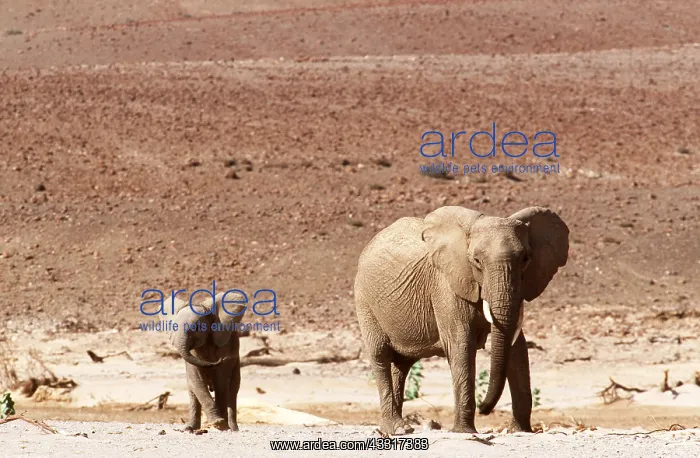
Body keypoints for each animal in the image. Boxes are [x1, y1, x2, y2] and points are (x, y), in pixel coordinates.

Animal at [169, 292, 245, 432]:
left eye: (197, 327)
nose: (220, 360)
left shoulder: (225, 344)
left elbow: (221, 381)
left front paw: (221, 425)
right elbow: (196, 378)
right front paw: (219, 423)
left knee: (232, 390)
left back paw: (233, 429)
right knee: (192, 389)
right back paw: (190, 429)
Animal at [354, 206, 569, 435]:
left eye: (526, 259)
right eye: (476, 261)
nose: (484, 409)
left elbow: (517, 347)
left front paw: (520, 431)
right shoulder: (445, 285)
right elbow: (461, 344)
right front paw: (465, 432)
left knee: (401, 365)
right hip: (364, 300)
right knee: (380, 356)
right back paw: (397, 428)